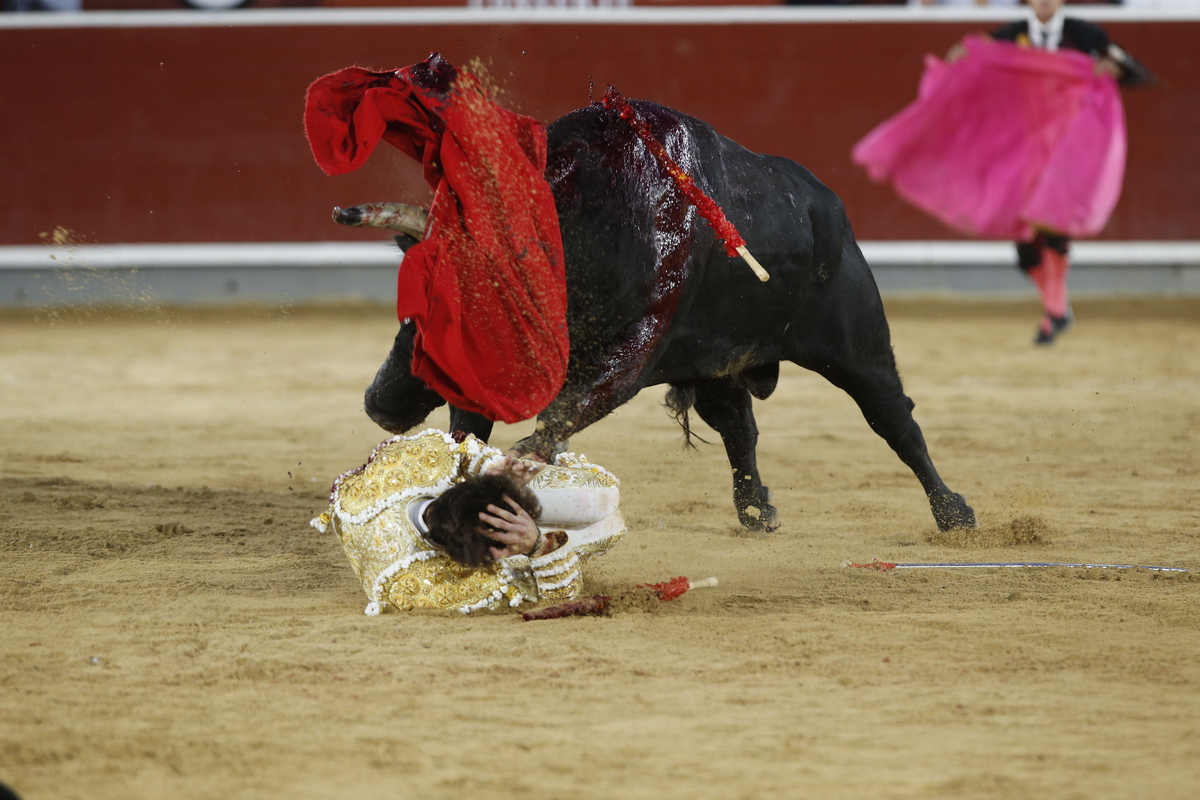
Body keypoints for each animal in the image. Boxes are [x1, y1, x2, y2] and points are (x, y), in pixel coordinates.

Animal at [355, 100, 974, 534]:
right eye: (412, 312)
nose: (379, 403)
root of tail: (829, 204)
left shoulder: (635, 347)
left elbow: (558, 417)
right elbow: (468, 430)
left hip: (857, 345)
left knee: (893, 418)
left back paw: (953, 513)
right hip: (718, 366)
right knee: (739, 428)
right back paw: (756, 510)